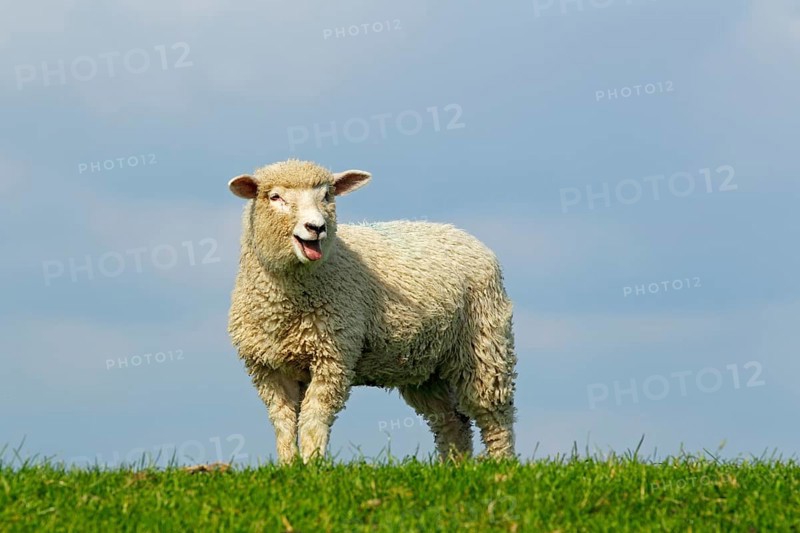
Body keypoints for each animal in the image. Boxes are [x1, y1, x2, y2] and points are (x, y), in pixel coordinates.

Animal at [227, 159, 517, 463]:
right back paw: (455, 465)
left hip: (485, 345)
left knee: (494, 416)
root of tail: (459, 232)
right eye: (275, 197)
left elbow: (314, 418)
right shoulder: (267, 367)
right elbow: (282, 422)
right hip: (428, 366)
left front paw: (312, 464)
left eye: (327, 195)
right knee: (451, 420)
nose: (316, 227)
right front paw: (289, 465)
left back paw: (501, 463)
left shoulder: (334, 356)